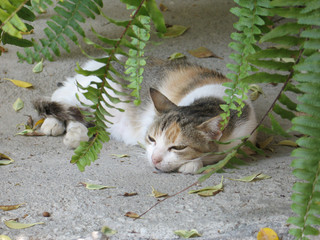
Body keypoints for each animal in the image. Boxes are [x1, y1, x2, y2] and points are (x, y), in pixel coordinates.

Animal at [33, 55, 258, 173]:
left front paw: (193, 163)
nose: (156, 160)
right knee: (60, 98)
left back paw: (74, 133)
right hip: (89, 93)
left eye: (178, 147)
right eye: (151, 138)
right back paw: (55, 124)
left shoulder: (246, 139)